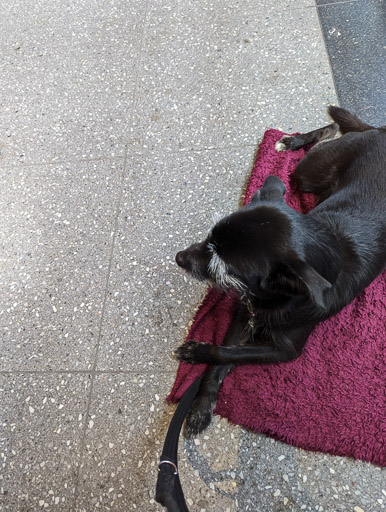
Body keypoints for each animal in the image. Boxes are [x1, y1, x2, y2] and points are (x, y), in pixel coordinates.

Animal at [175, 106, 386, 438]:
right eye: (209, 238)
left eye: (225, 268)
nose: (179, 258)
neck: (274, 299)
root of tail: (381, 131)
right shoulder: (243, 316)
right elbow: (222, 359)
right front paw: (201, 406)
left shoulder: (284, 351)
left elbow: (227, 353)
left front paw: (199, 352)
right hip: (308, 174)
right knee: (330, 131)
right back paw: (293, 141)